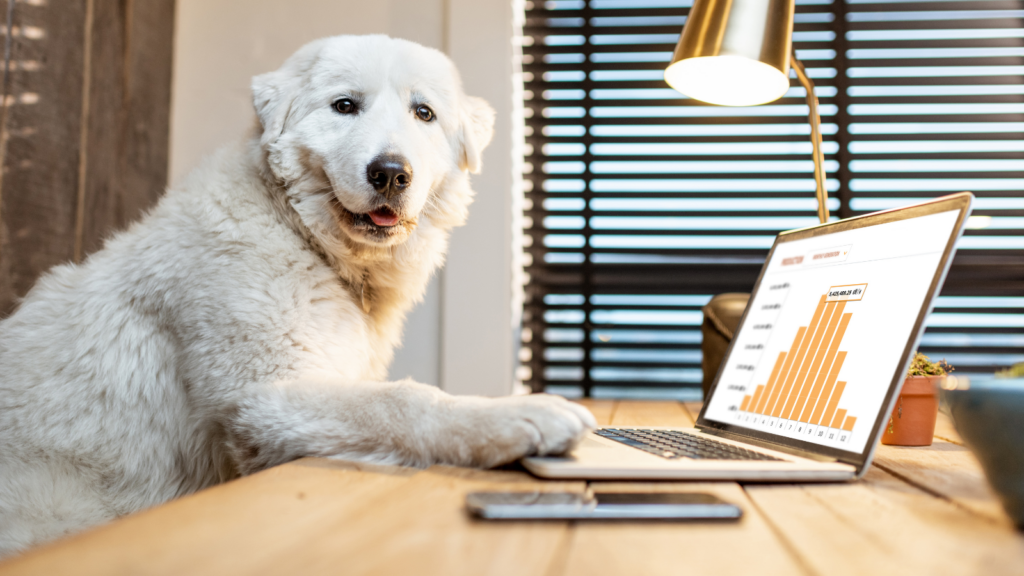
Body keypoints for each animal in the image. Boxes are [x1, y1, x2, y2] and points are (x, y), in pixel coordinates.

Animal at [0, 33, 593, 553]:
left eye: (423, 113)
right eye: (345, 106)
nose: (390, 173)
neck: (302, 234)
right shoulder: (265, 398)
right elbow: (402, 402)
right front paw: (522, 416)